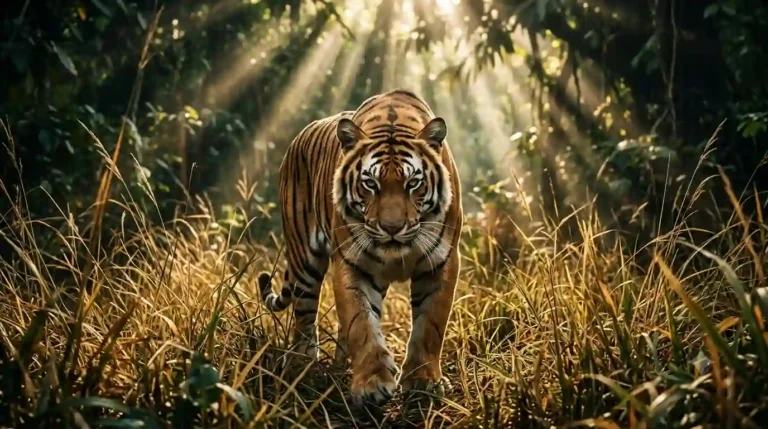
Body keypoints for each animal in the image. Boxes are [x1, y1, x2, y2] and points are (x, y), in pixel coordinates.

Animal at [258, 89, 463, 404]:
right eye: (370, 184)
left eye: (413, 183)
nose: (392, 228)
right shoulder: (352, 262)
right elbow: (360, 322)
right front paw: (372, 383)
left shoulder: (441, 261)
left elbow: (430, 324)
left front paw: (422, 382)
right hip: (305, 260)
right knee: (304, 318)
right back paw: (303, 368)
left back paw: (339, 365)